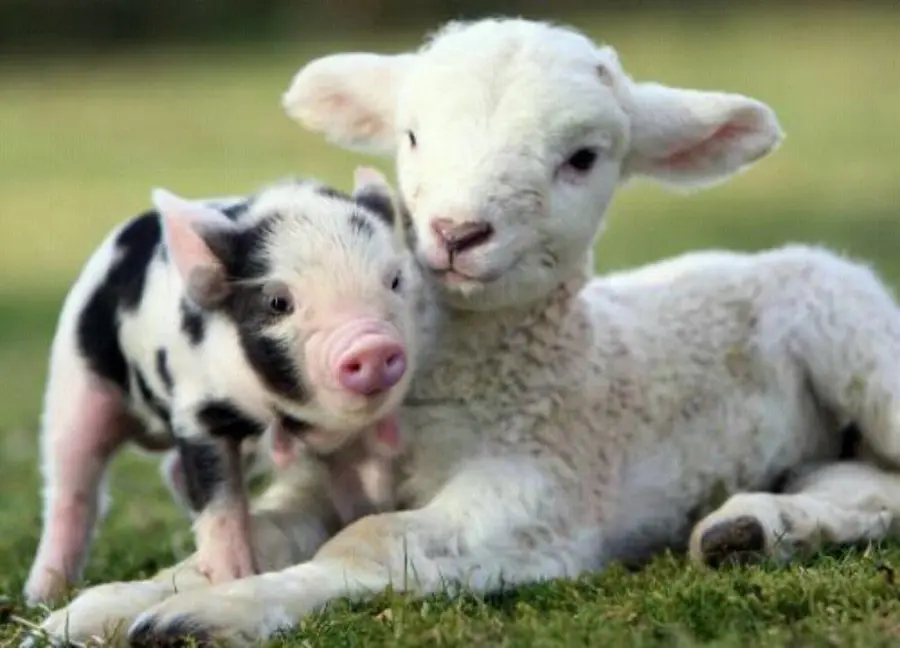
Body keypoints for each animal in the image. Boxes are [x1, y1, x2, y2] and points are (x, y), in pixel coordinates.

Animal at [29, 16, 900, 646]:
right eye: (411, 136)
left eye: (584, 157)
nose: (456, 231)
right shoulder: (321, 481)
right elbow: (261, 531)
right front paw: (103, 606)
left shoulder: (543, 493)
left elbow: (370, 541)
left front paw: (212, 615)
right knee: (862, 482)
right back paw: (751, 528)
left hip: (861, 346)